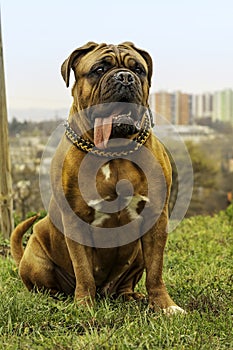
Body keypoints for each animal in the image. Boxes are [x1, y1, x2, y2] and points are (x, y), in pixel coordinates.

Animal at [10, 41, 186, 314]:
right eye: (99, 69)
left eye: (139, 69)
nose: (125, 77)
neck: (113, 149)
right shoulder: (75, 221)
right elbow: (83, 269)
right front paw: (84, 304)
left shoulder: (156, 217)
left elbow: (155, 270)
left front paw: (165, 305)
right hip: (36, 254)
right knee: (47, 285)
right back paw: (59, 298)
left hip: (136, 252)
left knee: (127, 282)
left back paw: (132, 296)